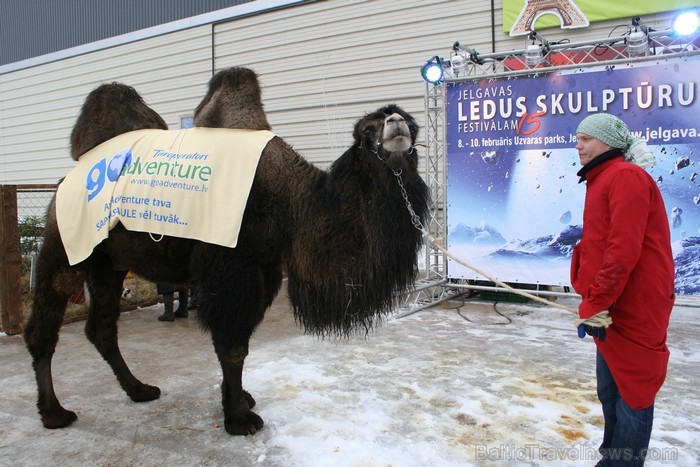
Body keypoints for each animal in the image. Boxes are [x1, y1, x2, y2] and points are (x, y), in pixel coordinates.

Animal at [24, 67, 430, 436]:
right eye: (366, 130)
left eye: (411, 122)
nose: (396, 123)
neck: (291, 202)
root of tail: (66, 180)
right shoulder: (233, 266)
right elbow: (232, 344)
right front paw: (239, 418)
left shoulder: (266, 270)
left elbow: (240, 340)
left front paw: (238, 399)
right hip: (65, 245)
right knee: (45, 321)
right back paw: (54, 412)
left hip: (109, 264)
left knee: (102, 328)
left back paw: (139, 390)